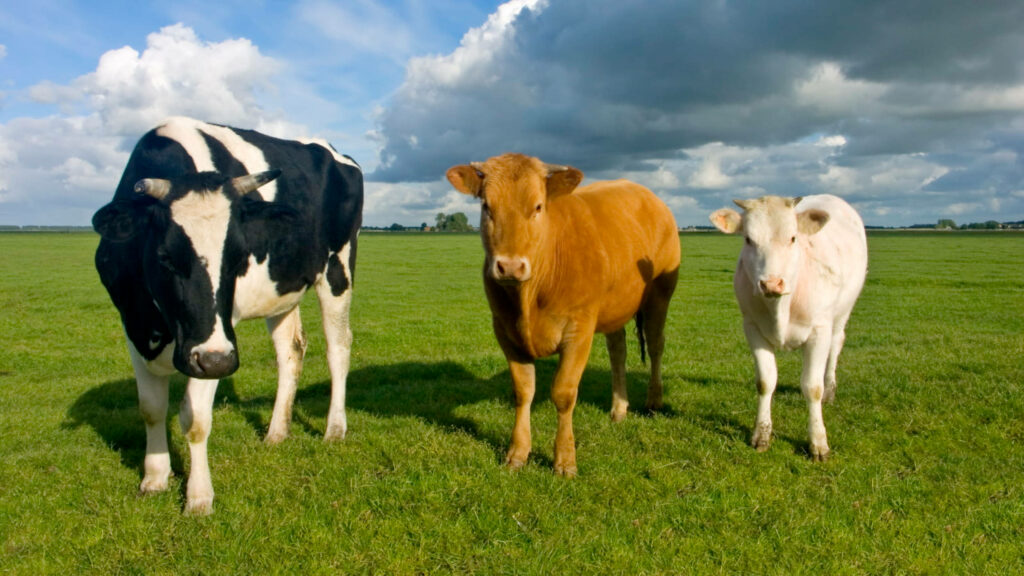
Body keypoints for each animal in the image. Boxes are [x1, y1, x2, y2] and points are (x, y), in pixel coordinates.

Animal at [92, 117, 362, 514]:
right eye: (164, 257)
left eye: (238, 259)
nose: (217, 363)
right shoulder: (132, 324)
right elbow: (151, 408)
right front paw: (154, 478)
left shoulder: (217, 341)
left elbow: (195, 418)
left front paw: (199, 497)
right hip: (282, 289)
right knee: (291, 350)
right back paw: (276, 432)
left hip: (338, 268)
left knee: (338, 348)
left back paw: (334, 429)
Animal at [446, 153, 680, 476]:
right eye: (486, 207)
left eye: (538, 206)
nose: (510, 266)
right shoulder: (505, 330)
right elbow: (523, 391)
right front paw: (517, 453)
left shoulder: (578, 330)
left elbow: (563, 393)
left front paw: (565, 460)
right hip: (614, 307)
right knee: (618, 352)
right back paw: (619, 408)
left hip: (659, 295)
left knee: (656, 345)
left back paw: (654, 400)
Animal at [709, 194, 867, 461]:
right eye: (748, 239)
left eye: (793, 238)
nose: (772, 283)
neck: (780, 308)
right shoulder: (752, 328)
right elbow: (765, 381)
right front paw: (761, 435)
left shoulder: (819, 329)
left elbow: (812, 387)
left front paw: (818, 442)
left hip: (843, 312)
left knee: (835, 346)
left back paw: (830, 389)